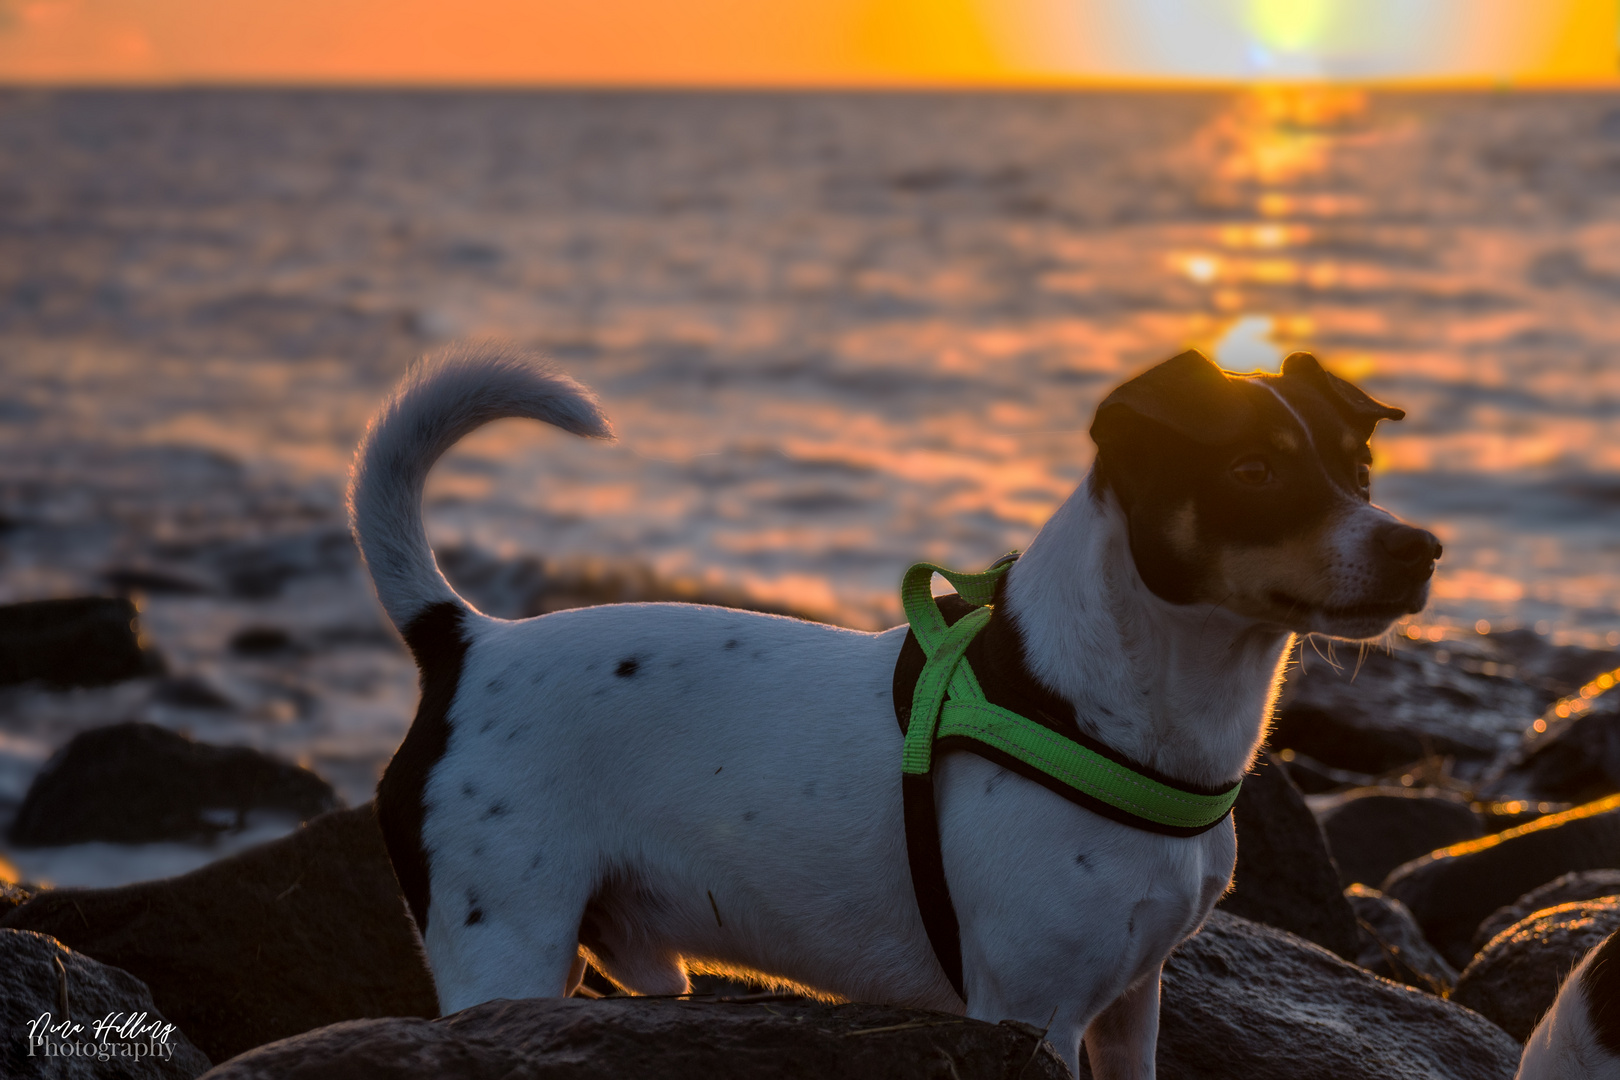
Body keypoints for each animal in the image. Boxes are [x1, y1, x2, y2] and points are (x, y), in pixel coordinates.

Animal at [351, 341, 1445, 1075]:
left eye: (1360, 468)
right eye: (1253, 470)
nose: (1420, 546)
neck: (1102, 707)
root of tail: (467, 640)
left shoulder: (1132, 1004)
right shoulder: (1030, 1013)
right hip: (504, 945)